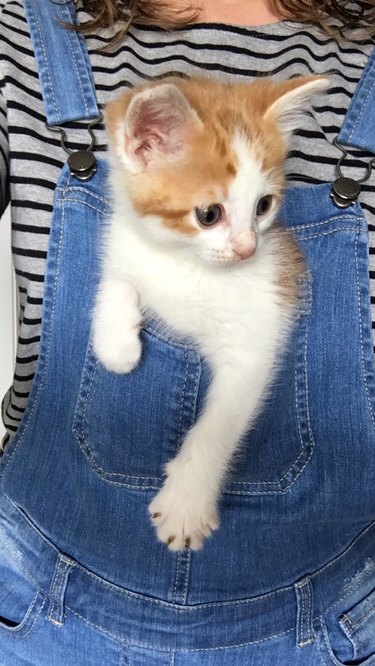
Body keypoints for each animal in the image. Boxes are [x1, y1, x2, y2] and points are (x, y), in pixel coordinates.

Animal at [94, 74, 328, 548]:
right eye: (209, 214)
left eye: (263, 206)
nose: (248, 249)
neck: (185, 262)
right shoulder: (126, 239)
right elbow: (119, 272)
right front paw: (116, 341)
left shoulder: (255, 340)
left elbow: (217, 429)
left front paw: (186, 502)